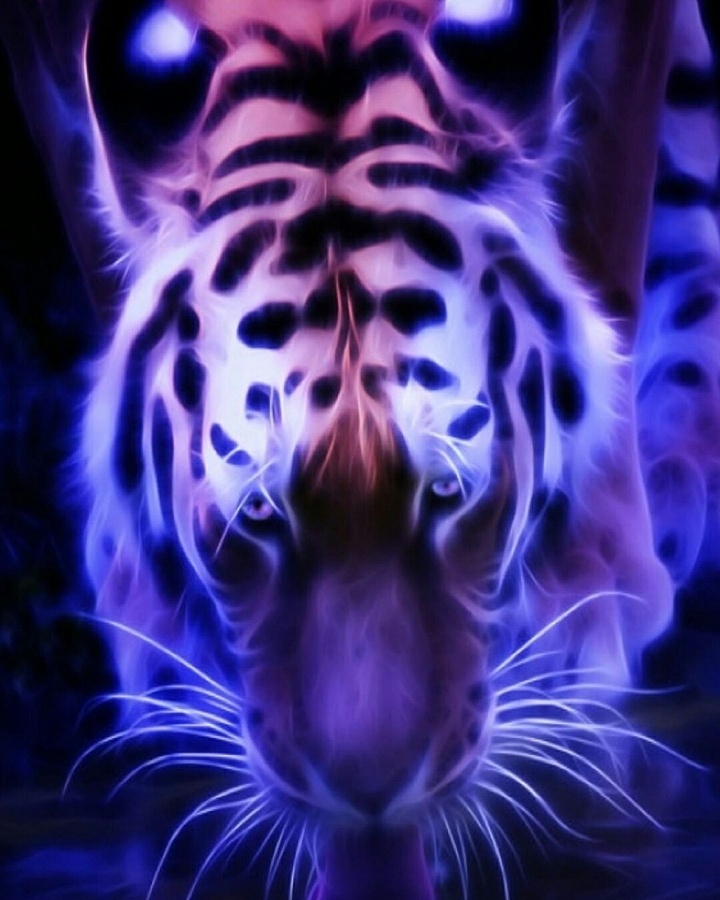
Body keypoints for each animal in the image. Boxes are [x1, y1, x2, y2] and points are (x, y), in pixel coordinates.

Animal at [1, 0, 718, 897]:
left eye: (448, 492)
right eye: (257, 509)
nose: (370, 796)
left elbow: (609, 225)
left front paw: (590, 590)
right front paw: (161, 632)